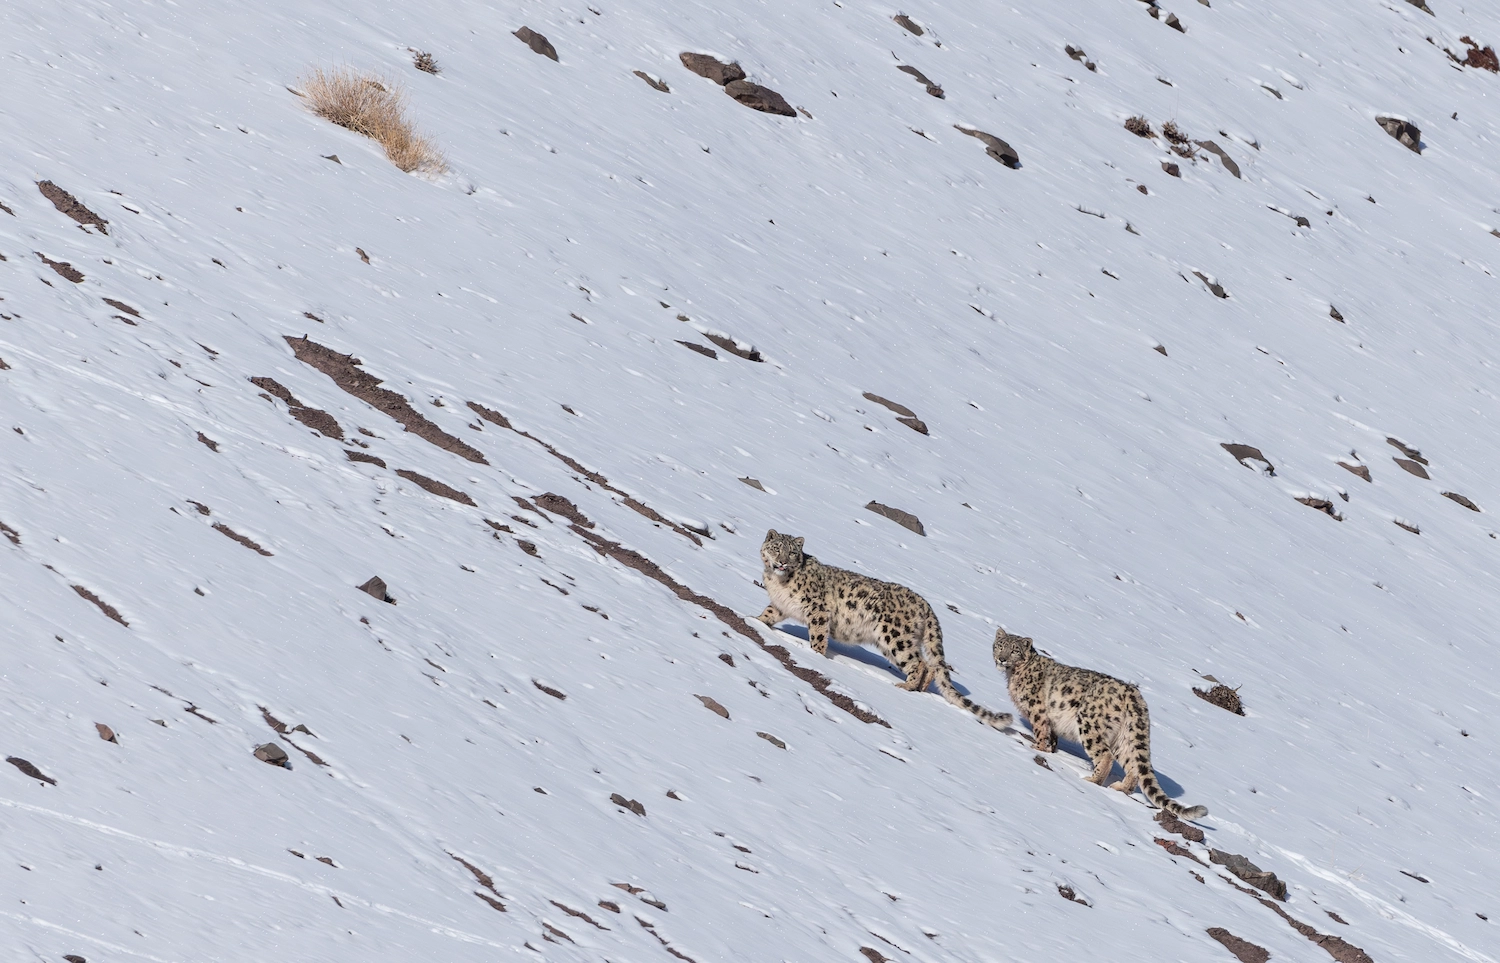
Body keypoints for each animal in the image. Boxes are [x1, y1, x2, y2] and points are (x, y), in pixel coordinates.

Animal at [756, 530, 1011, 729]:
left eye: (792, 552)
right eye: (776, 548)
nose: (782, 562)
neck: (779, 582)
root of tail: (926, 605)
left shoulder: (817, 609)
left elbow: (818, 636)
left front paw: (815, 655)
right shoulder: (780, 606)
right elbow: (768, 613)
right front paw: (756, 620)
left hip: (895, 637)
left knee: (919, 663)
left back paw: (906, 685)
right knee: (929, 665)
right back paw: (918, 688)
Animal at [992, 631, 1208, 820]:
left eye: (1014, 650)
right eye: (1000, 646)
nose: (1001, 659)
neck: (1013, 674)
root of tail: (1134, 694)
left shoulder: (1037, 710)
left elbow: (1041, 730)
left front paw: (1038, 747)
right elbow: (1052, 737)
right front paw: (1050, 749)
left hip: (1089, 723)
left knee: (1105, 755)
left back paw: (1092, 780)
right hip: (1123, 737)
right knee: (1133, 766)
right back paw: (1119, 788)